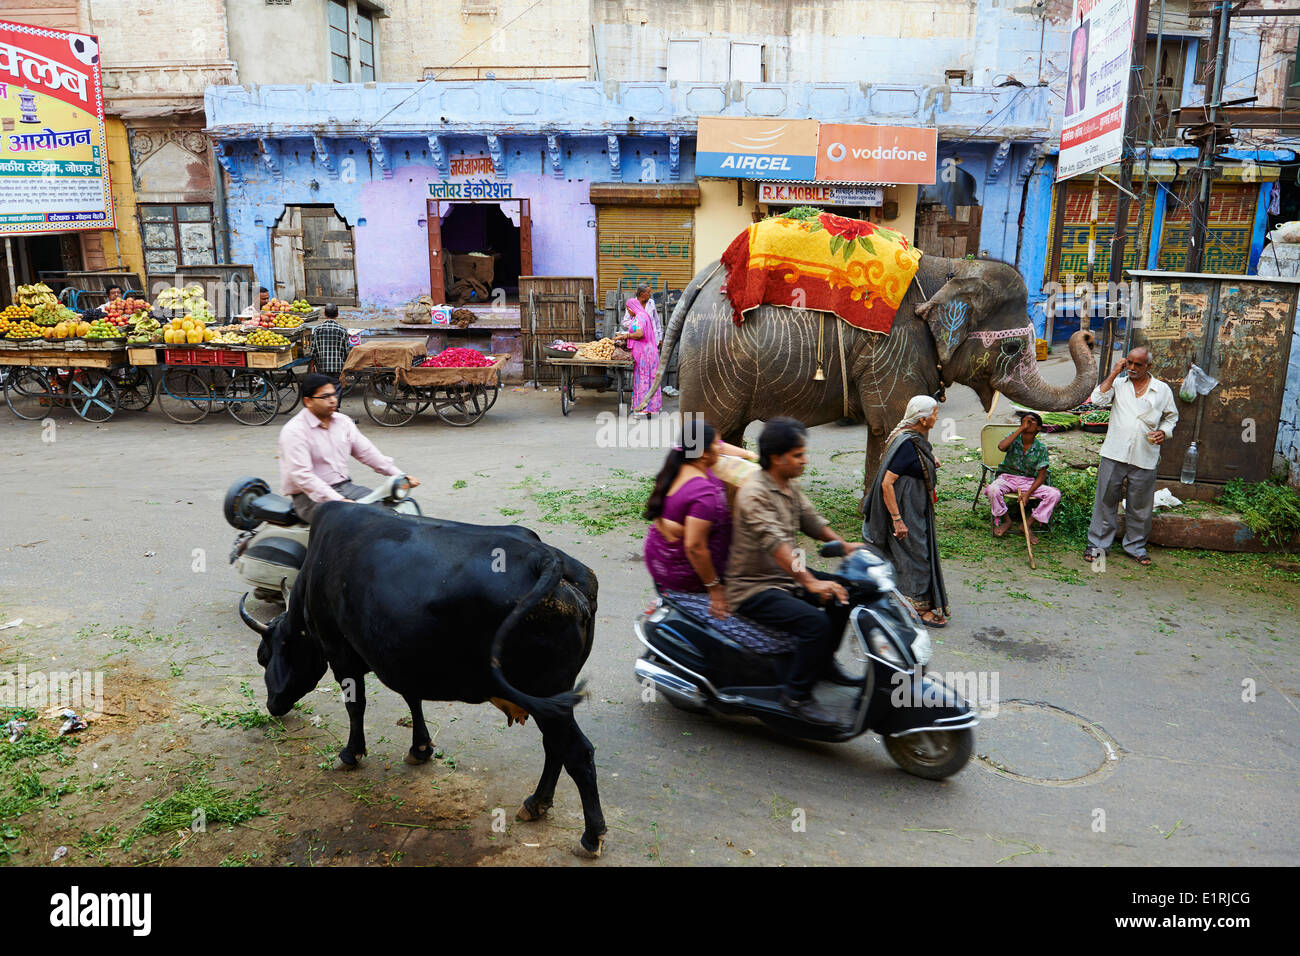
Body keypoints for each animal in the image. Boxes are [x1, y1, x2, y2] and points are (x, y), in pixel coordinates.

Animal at [240, 504, 608, 858]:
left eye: (265, 654)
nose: (273, 703)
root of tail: (546, 559)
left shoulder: (340, 652)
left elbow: (356, 706)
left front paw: (350, 754)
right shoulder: (403, 659)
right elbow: (412, 698)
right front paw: (420, 749)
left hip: (545, 694)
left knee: (577, 752)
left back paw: (590, 836)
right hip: (554, 699)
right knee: (555, 747)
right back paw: (536, 804)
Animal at [639, 254, 1097, 489]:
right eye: (1014, 347)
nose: (1088, 333)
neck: (950, 270)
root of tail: (701, 278)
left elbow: (885, 433)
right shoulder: (894, 352)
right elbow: (894, 425)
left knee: (728, 437)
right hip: (713, 364)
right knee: (708, 434)